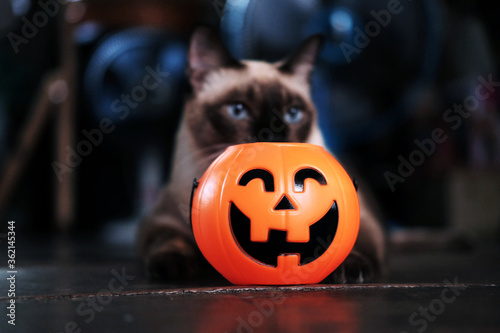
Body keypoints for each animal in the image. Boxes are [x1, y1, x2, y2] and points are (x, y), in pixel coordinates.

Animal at [137, 26, 382, 282]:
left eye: (293, 113)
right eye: (238, 110)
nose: (273, 134)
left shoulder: (364, 219)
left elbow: (353, 242)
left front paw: (349, 268)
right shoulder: (160, 219)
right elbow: (167, 239)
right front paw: (172, 265)